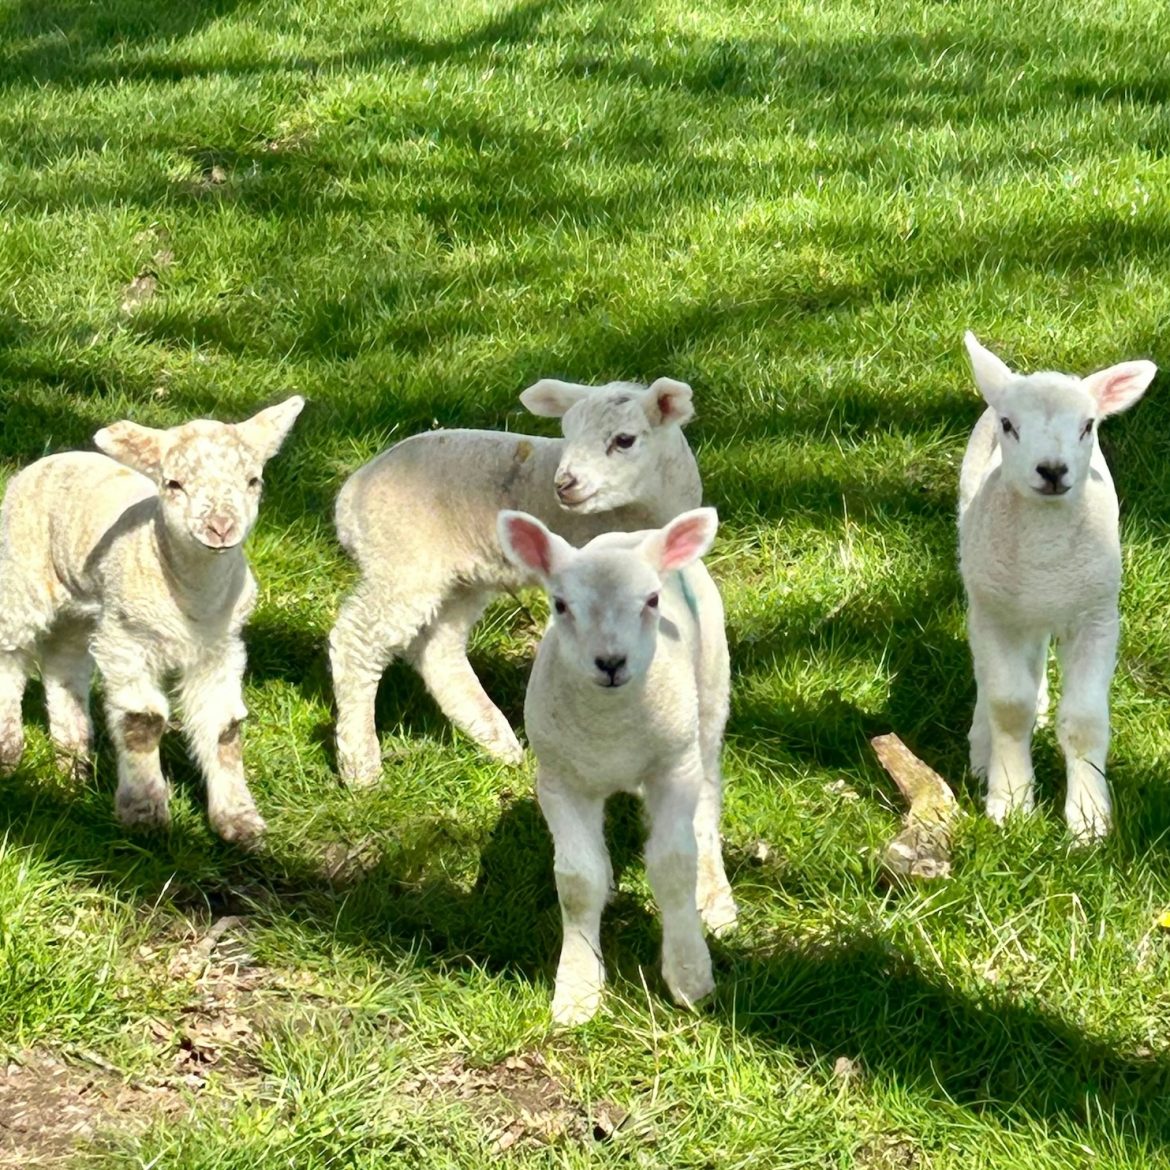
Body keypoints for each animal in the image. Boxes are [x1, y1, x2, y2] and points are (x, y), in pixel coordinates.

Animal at [0, 397, 306, 847]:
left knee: (64, 669)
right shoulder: (127, 640)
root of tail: (55, 456)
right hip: (21, 573)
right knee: (10, 656)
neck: (194, 600)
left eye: (253, 481)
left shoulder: (221, 648)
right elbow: (141, 721)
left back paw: (72, 767)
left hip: (80, 610)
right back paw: (9, 756)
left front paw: (239, 822)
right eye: (174, 484)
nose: (220, 527)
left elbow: (225, 728)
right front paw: (144, 815)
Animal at [325, 374, 697, 786]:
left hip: (457, 579)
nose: (564, 484)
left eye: (625, 440)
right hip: (401, 559)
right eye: (567, 433)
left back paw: (499, 743)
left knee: (439, 651)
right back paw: (361, 766)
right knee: (357, 640)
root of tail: (351, 493)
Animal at [496, 503, 734, 1024]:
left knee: (708, 805)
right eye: (560, 605)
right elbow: (577, 880)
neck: (613, 728)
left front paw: (689, 975)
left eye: (651, 600)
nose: (610, 662)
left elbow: (673, 865)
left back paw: (716, 898)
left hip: (709, 701)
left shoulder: (674, 768)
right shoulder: (560, 781)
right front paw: (578, 988)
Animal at [954, 332, 1155, 842]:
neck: (1044, 557)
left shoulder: (1097, 616)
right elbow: (1008, 706)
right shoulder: (997, 614)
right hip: (984, 588)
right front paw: (1010, 802)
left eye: (1088, 425)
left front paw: (1089, 820)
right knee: (990, 677)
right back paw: (982, 748)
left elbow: (1085, 720)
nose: (1051, 470)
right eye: (1009, 424)